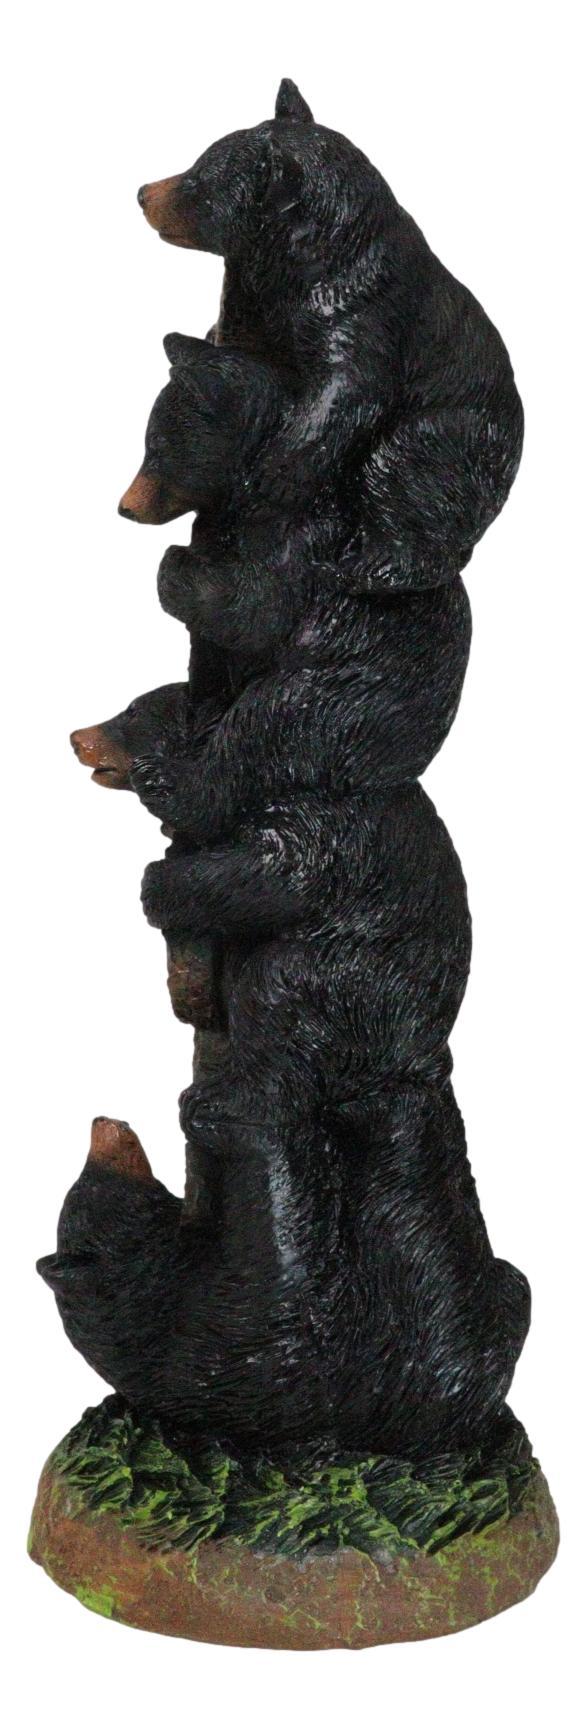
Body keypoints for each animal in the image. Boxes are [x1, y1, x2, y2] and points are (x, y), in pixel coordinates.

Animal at [136, 78, 524, 593]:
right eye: (196, 162)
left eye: (198, 181)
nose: (143, 192)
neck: (286, 266)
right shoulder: (253, 303)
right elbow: (235, 357)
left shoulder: (363, 308)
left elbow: (348, 390)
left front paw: (269, 480)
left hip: (456, 434)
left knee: (403, 471)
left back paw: (371, 568)